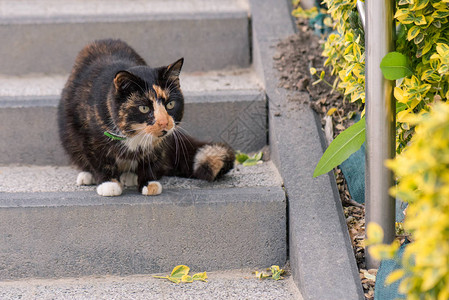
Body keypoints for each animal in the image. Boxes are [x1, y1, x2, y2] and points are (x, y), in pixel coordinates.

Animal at [57, 38, 234, 197]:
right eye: (144, 108)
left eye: (170, 104)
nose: (164, 122)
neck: (134, 134)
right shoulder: (89, 135)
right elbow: (100, 159)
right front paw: (108, 184)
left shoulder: (160, 144)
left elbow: (151, 159)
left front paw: (149, 183)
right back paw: (88, 175)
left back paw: (130, 176)